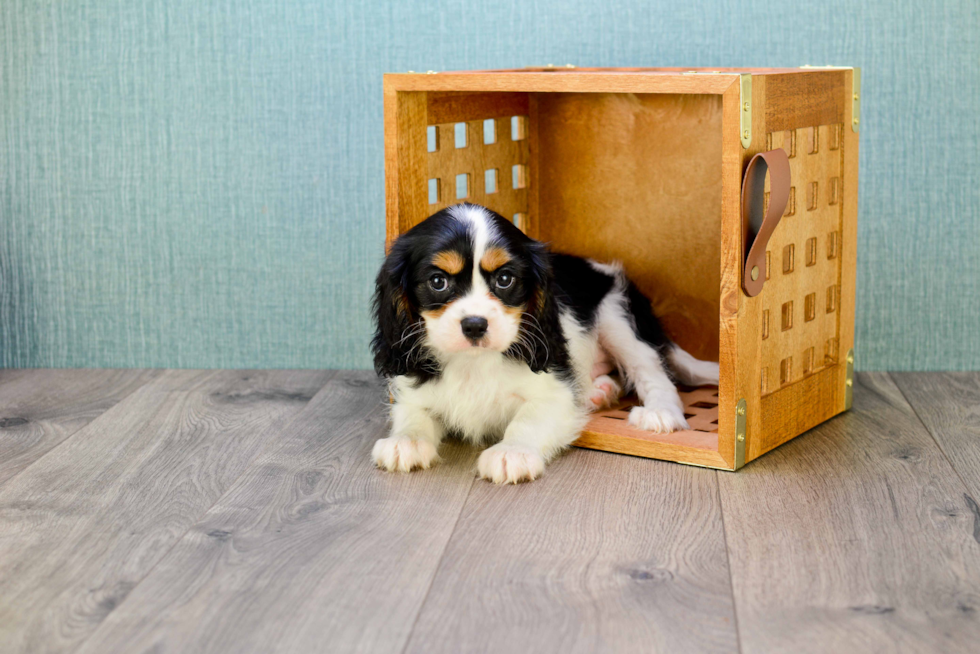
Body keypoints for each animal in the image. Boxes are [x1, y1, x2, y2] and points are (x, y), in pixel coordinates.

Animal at [372, 202, 716, 484]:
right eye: (438, 282)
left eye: (505, 279)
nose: (474, 324)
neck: (473, 360)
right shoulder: (412, 390)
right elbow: (413, 414)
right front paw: (405, 442)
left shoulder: (554, 393)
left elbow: (528, 419)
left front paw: (511, 453)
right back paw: (599, 391)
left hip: (616, 315)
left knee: (653, 373)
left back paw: (659, 413)